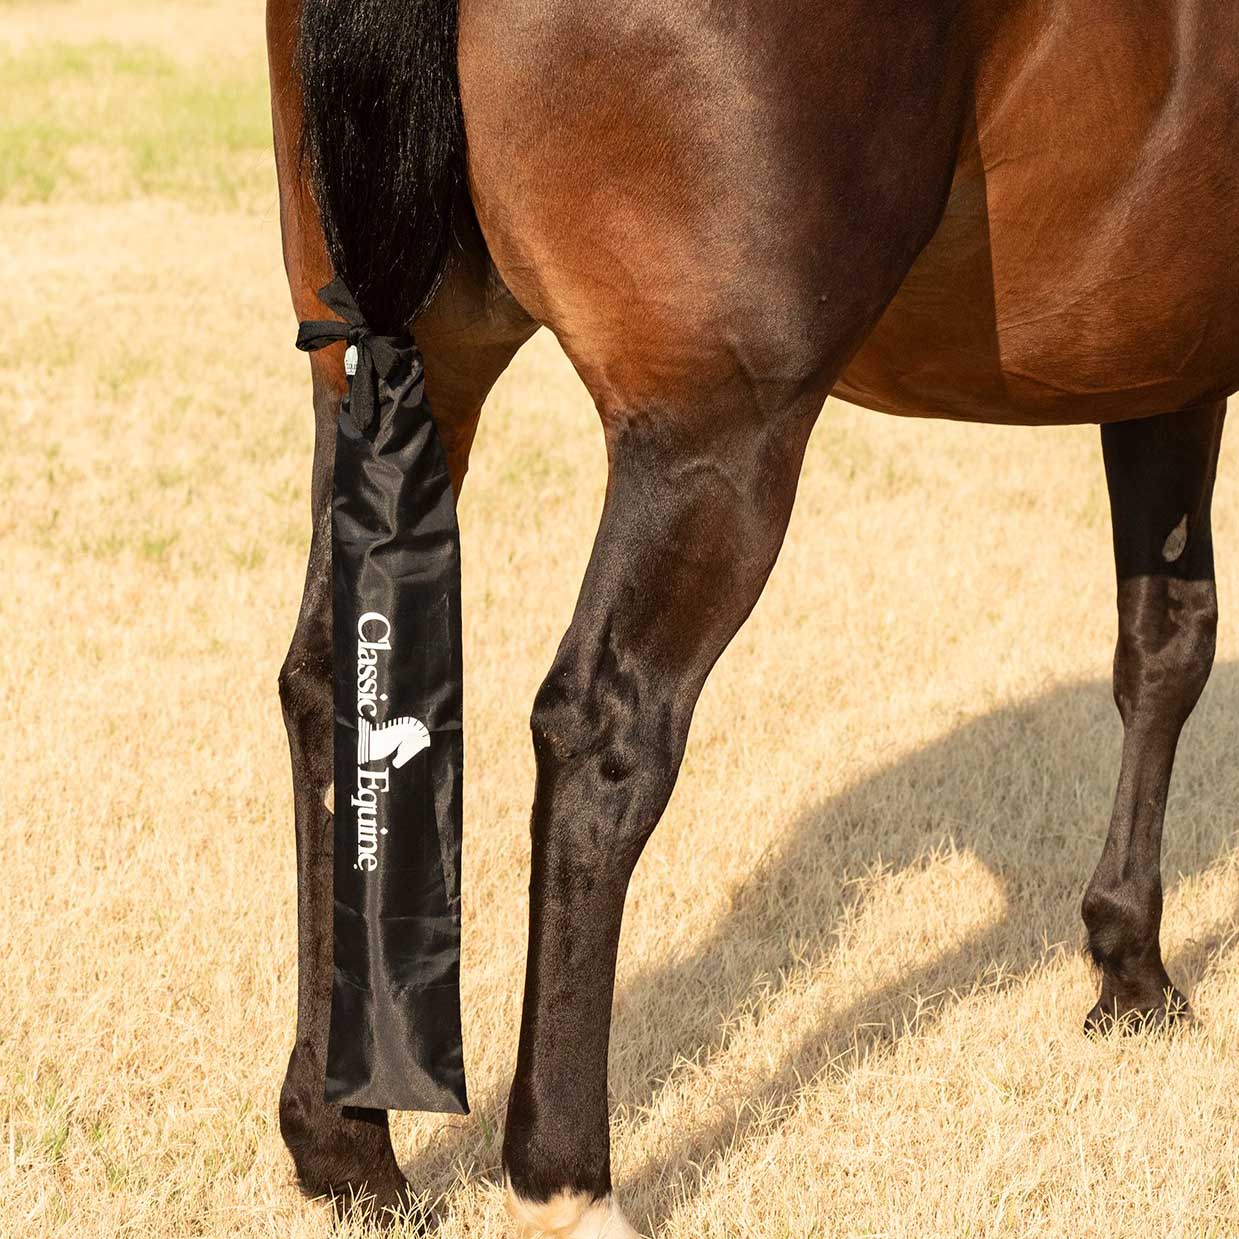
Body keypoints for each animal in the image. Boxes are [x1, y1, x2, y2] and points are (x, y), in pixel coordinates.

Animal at [265, 0, 1239, 1233]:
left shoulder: (1159, 365)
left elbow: (1164, 643)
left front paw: (1130, 966)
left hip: (396, 371)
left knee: (332, 681)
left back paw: (347, 1148)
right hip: (717, 445)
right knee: (604, 732)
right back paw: (565, 1180)